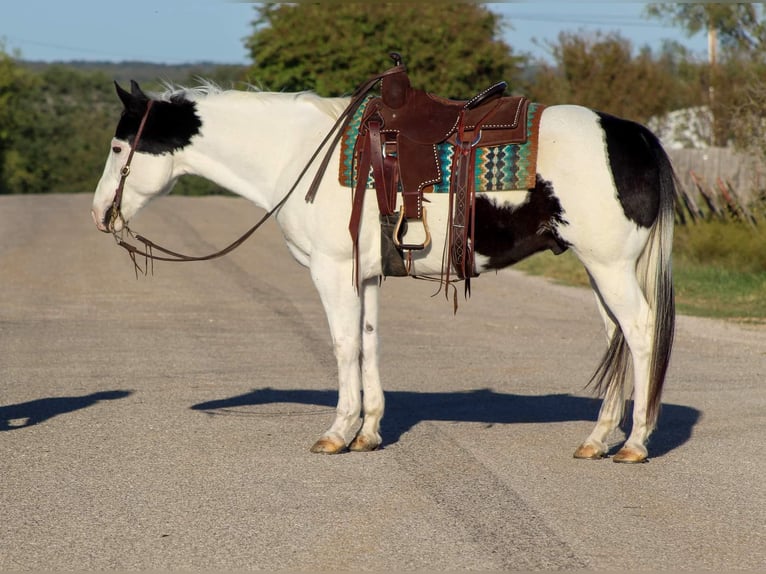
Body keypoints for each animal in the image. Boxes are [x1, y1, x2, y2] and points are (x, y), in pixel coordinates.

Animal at [91, 78, 676, 463]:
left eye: (120, 147)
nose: (99, 214)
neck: (298, 154)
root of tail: (634, 136)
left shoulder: (332, 272)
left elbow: (343, 346)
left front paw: (337, 432)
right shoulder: (366, 276)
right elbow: (369, 343)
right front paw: (369, 432)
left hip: (610, 267)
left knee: (641, 333)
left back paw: (635, 443)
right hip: (600, 270)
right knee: (615, 339)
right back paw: (597, 440)